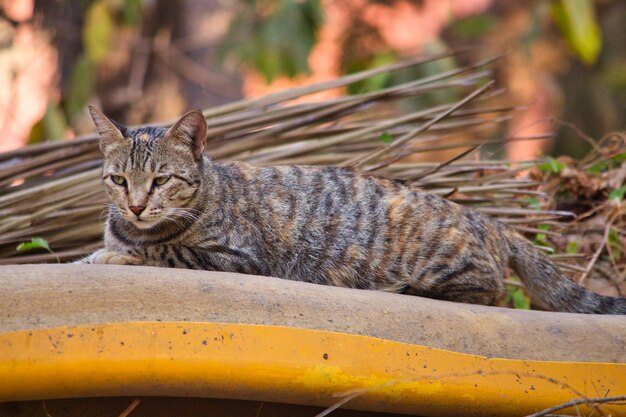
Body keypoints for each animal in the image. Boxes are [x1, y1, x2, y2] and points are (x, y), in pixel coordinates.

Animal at [79, 105, 624, 314]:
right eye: (119, 180)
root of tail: (483, 217)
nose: (136, 205)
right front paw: (97, 254)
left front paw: (117, 255)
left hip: (445, 261)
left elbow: (164, 253)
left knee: (490, 292)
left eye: (162, 180)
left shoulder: (236, 257)